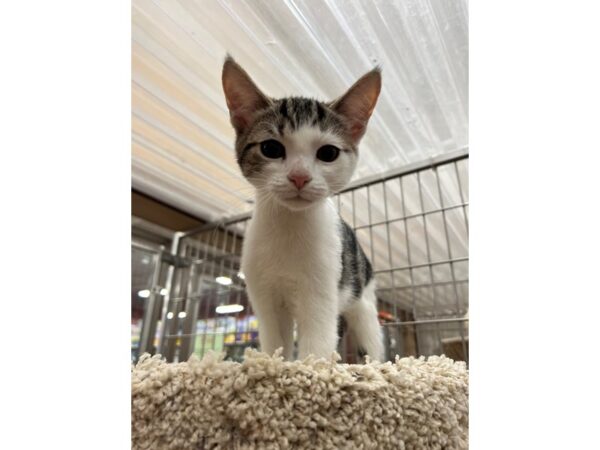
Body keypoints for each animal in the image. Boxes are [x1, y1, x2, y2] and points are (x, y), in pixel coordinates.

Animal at [221, 56, 384, 360]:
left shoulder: (321, 291)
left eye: (328, 153)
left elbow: (317, 343)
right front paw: (273, 365)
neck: (289, 225)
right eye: (271, 148)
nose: (299, 177)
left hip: (362, 301)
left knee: (371, 340)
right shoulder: (265, 297)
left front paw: (311, 369)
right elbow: (275, 341)